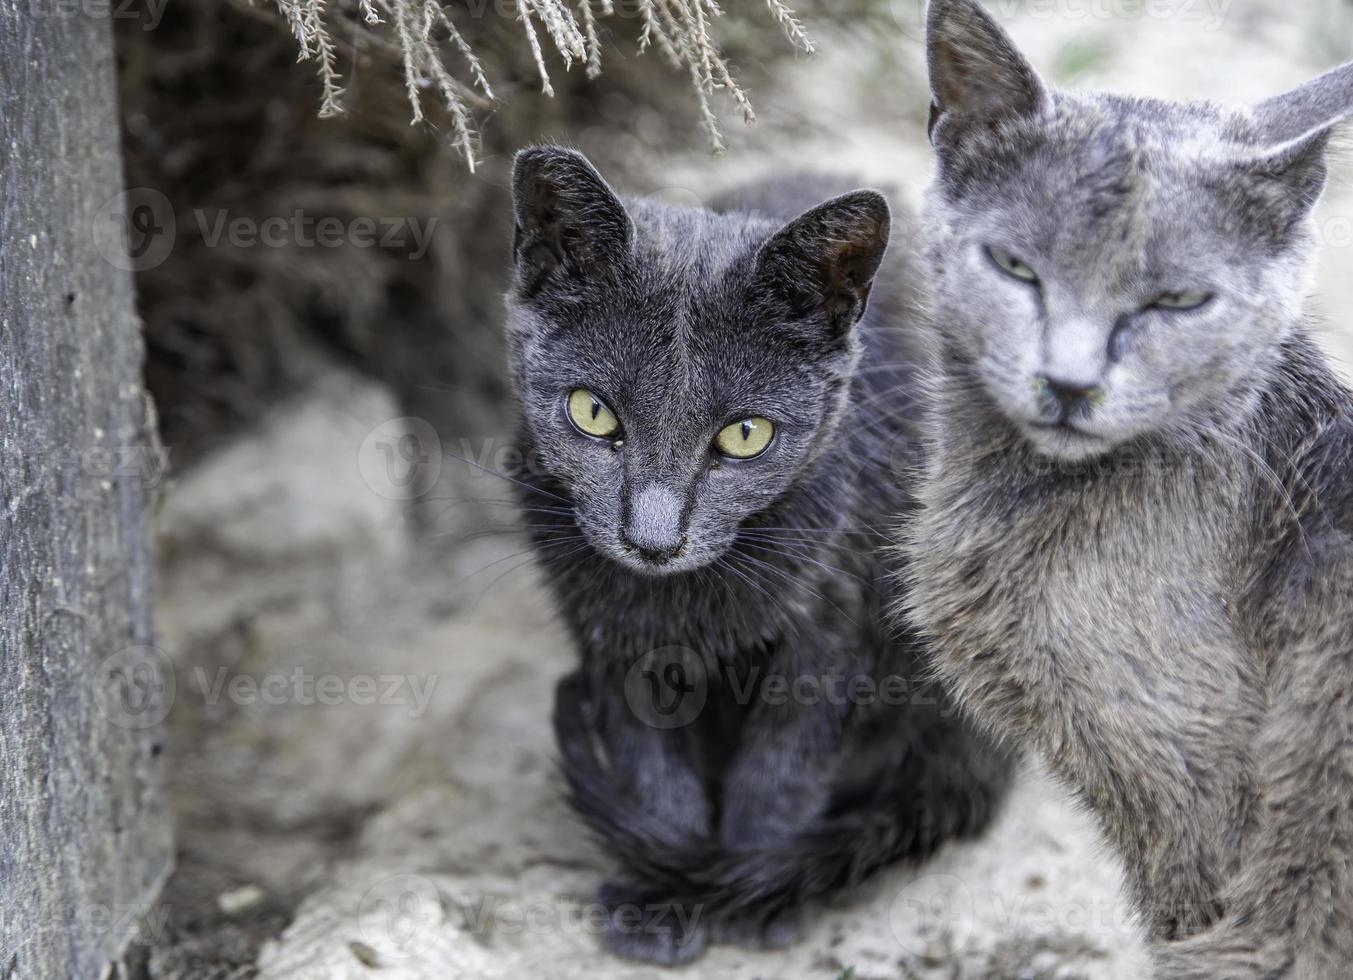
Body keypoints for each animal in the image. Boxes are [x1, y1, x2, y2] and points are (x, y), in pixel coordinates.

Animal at [508, 147, 1017, 963]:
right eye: (592, 413)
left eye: (744, 435)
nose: (653, 540)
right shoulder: (607, 632)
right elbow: (653, 768)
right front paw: (664, 895)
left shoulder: (833, 620)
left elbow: (781, 768)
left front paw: (745, 891)